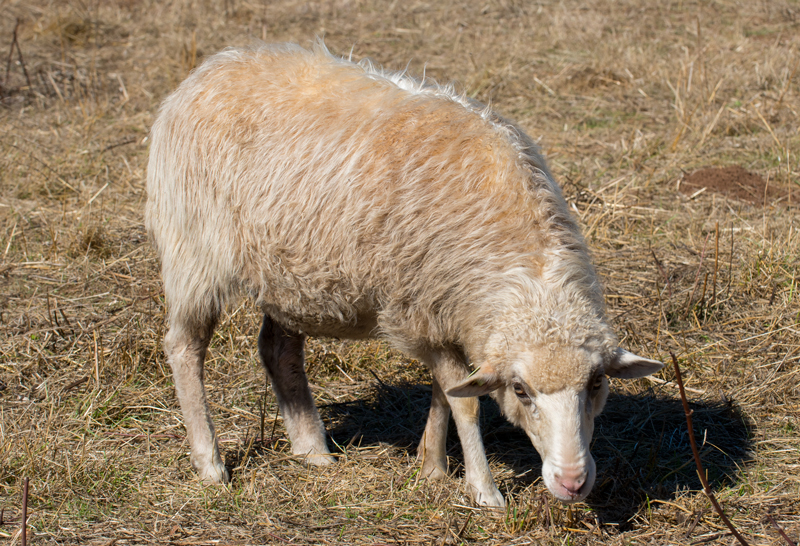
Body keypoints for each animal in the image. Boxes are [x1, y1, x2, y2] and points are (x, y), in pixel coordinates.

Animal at [145, 41, 664, 506]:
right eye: (521, 390)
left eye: (596, 384)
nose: (572, 482)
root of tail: (211, 67)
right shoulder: (420, 311)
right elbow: (464, 402)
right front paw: (484, 490)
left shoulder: (445, 311)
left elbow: (445, 393)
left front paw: (431, 465)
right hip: (193, 251)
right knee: (185, 348)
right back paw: (211, 463)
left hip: (286, 273)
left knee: (278, 350)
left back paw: (313, 451)